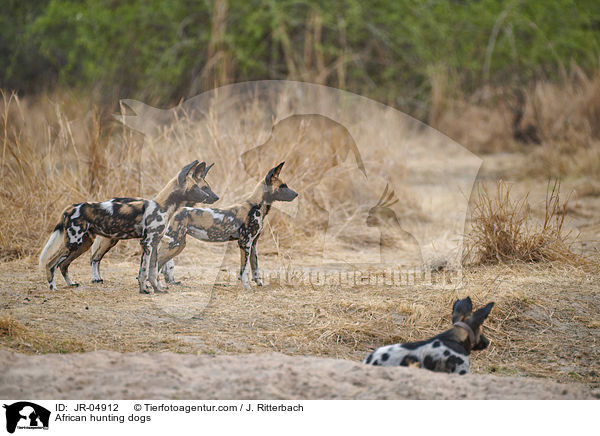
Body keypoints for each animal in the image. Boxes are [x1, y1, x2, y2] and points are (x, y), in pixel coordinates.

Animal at [38, 160, 219, 292]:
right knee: (51, 263)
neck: (164, 206)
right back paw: (53, 288)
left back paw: (71, 283)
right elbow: (145, 271)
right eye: (197, 187)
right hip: (75, 242)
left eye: (204, 187)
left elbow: (152, 271)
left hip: (83, 244)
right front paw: (145, 290)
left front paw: (158, 289)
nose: (212, 197)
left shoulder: (155, 243)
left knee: (63, 264)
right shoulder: (147, 243)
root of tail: (71, 207)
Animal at [154, 162, 296, 288]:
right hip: (174, 243)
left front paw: (259, 284)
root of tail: (176, 211)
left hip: (178, 244)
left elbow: (255, 267)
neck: (257, 207)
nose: (296, 194)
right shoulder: (244, 243)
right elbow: (244, 270)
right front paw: (246, 287)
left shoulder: (253, 244)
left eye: (286, 185)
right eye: (282, 186)